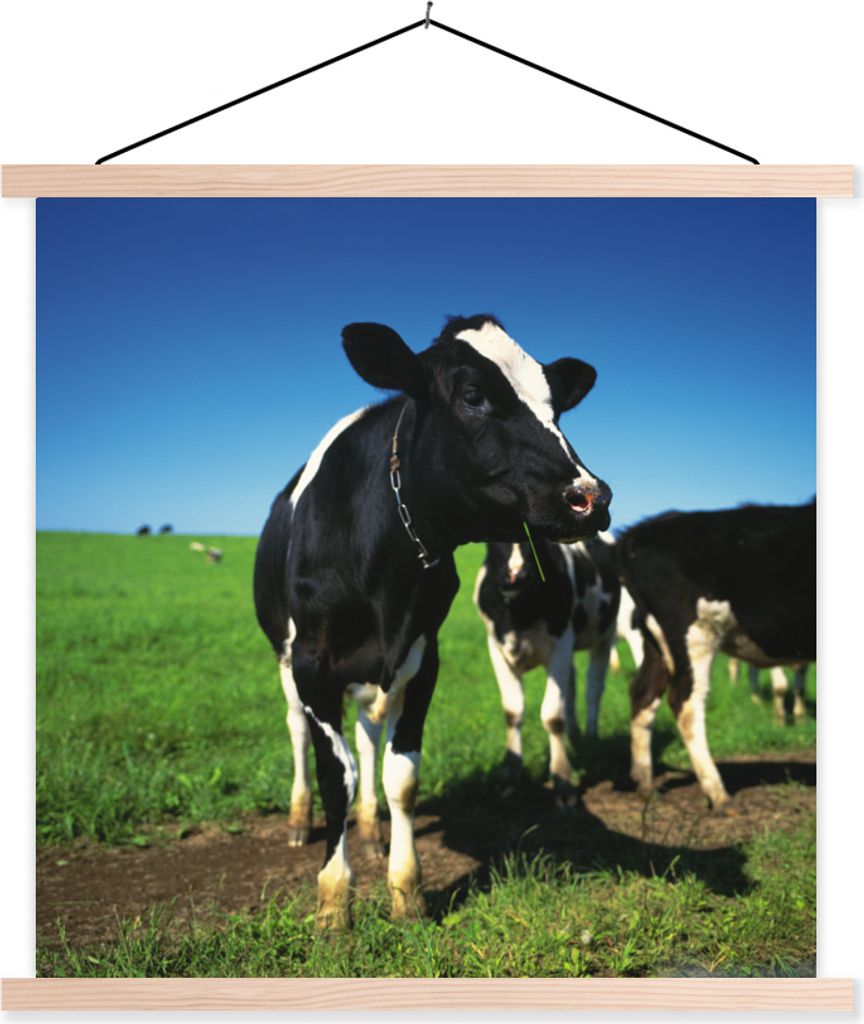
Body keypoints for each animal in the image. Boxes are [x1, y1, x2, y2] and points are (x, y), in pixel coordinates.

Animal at [473, 534, 619, 802]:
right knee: (571, 684)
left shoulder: (560, 643)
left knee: (594, 687)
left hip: (605, 634)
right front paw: (510, 774)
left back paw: (591, 737)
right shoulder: (495, 646)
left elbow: (552, 715)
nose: (516, 575)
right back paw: (575, 734)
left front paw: (562, 780)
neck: (518, 614)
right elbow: (512, 711)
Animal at [617, 501, 815, 811]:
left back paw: (645, 785)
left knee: (643, 692)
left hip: (655, 640)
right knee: (685, 702)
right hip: (695, 632)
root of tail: (637, 533)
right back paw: (717, 793)